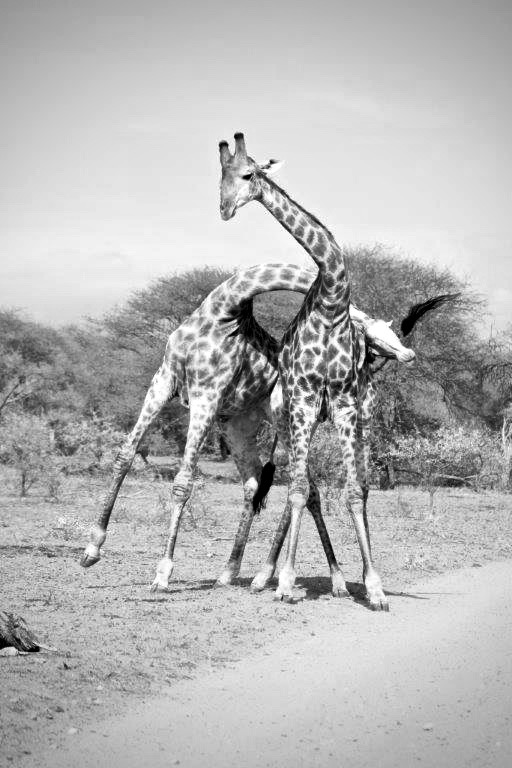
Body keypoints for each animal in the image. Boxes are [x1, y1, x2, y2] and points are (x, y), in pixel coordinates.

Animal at [79, 261, 414, 594]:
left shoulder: (206, 393)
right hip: (237, 424)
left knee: (308, 488)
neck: (226, 307)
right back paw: (234, 572)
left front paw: (163, 573)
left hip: (286, 425)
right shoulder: (164, 379)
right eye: (374, 339)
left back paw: (324, 579)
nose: (407, 354)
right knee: (261, 483)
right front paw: (92, 549)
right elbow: (125, 456)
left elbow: (182, 481)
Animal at [219, 132, 396, 609]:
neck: (332, 300)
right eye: (221, 175)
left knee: (336, 487)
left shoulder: (345, 401)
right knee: (302, 487)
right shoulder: (303, 396)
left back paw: (334, 580)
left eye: (248, 174)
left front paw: (374, 587)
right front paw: (284, 581)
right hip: (291, 419)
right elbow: (299, 490)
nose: (225, 208)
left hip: (346, 419)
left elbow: (354, 492)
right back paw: (270, 576)